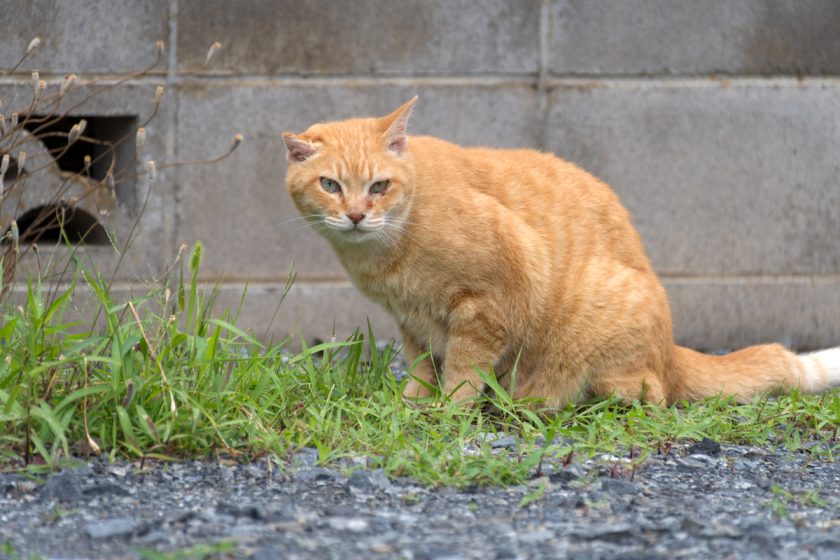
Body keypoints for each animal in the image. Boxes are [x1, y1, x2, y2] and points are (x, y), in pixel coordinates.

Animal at [284, 99, 840, 406]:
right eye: (331, 185)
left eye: (379, 186)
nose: (356, 214)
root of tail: (671, 349)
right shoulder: (412, 324)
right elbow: (423, 369)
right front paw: (413, 405)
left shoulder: (490, 302)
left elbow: (464, 370)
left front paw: (449, 412)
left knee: (650, 395)